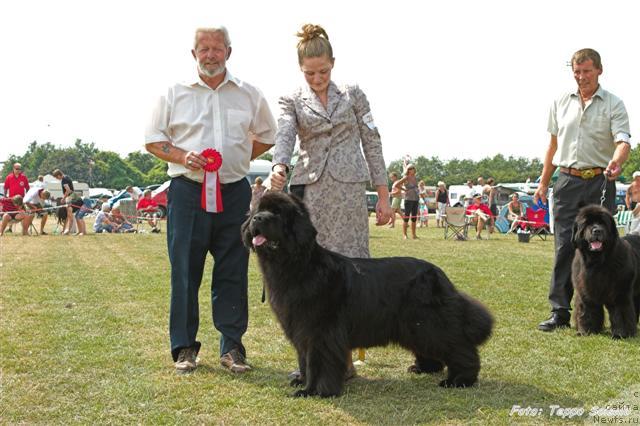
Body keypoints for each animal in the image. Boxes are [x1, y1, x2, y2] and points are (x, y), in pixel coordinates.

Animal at [241, 191, 496, 398]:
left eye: (277, 213)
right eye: (257, 210)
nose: (257, 219)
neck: (298, 266)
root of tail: (439, 274)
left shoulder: (320, 331)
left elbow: (317, 363)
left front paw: (314, 391)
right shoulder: (300, 330)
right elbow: (304, 360)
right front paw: (302, 382)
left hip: (431, 322)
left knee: (459, 346)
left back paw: (459, 380)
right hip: (415, 325)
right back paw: (424, 368)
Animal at [568, 205, 640, 338]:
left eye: (603, 223)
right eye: (587, 223)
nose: (597, 230)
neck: (597, 263)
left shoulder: (620, 292)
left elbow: (620, 312)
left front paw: (621, 334)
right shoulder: (585, 291)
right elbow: (587, 311)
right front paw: (586, 331)